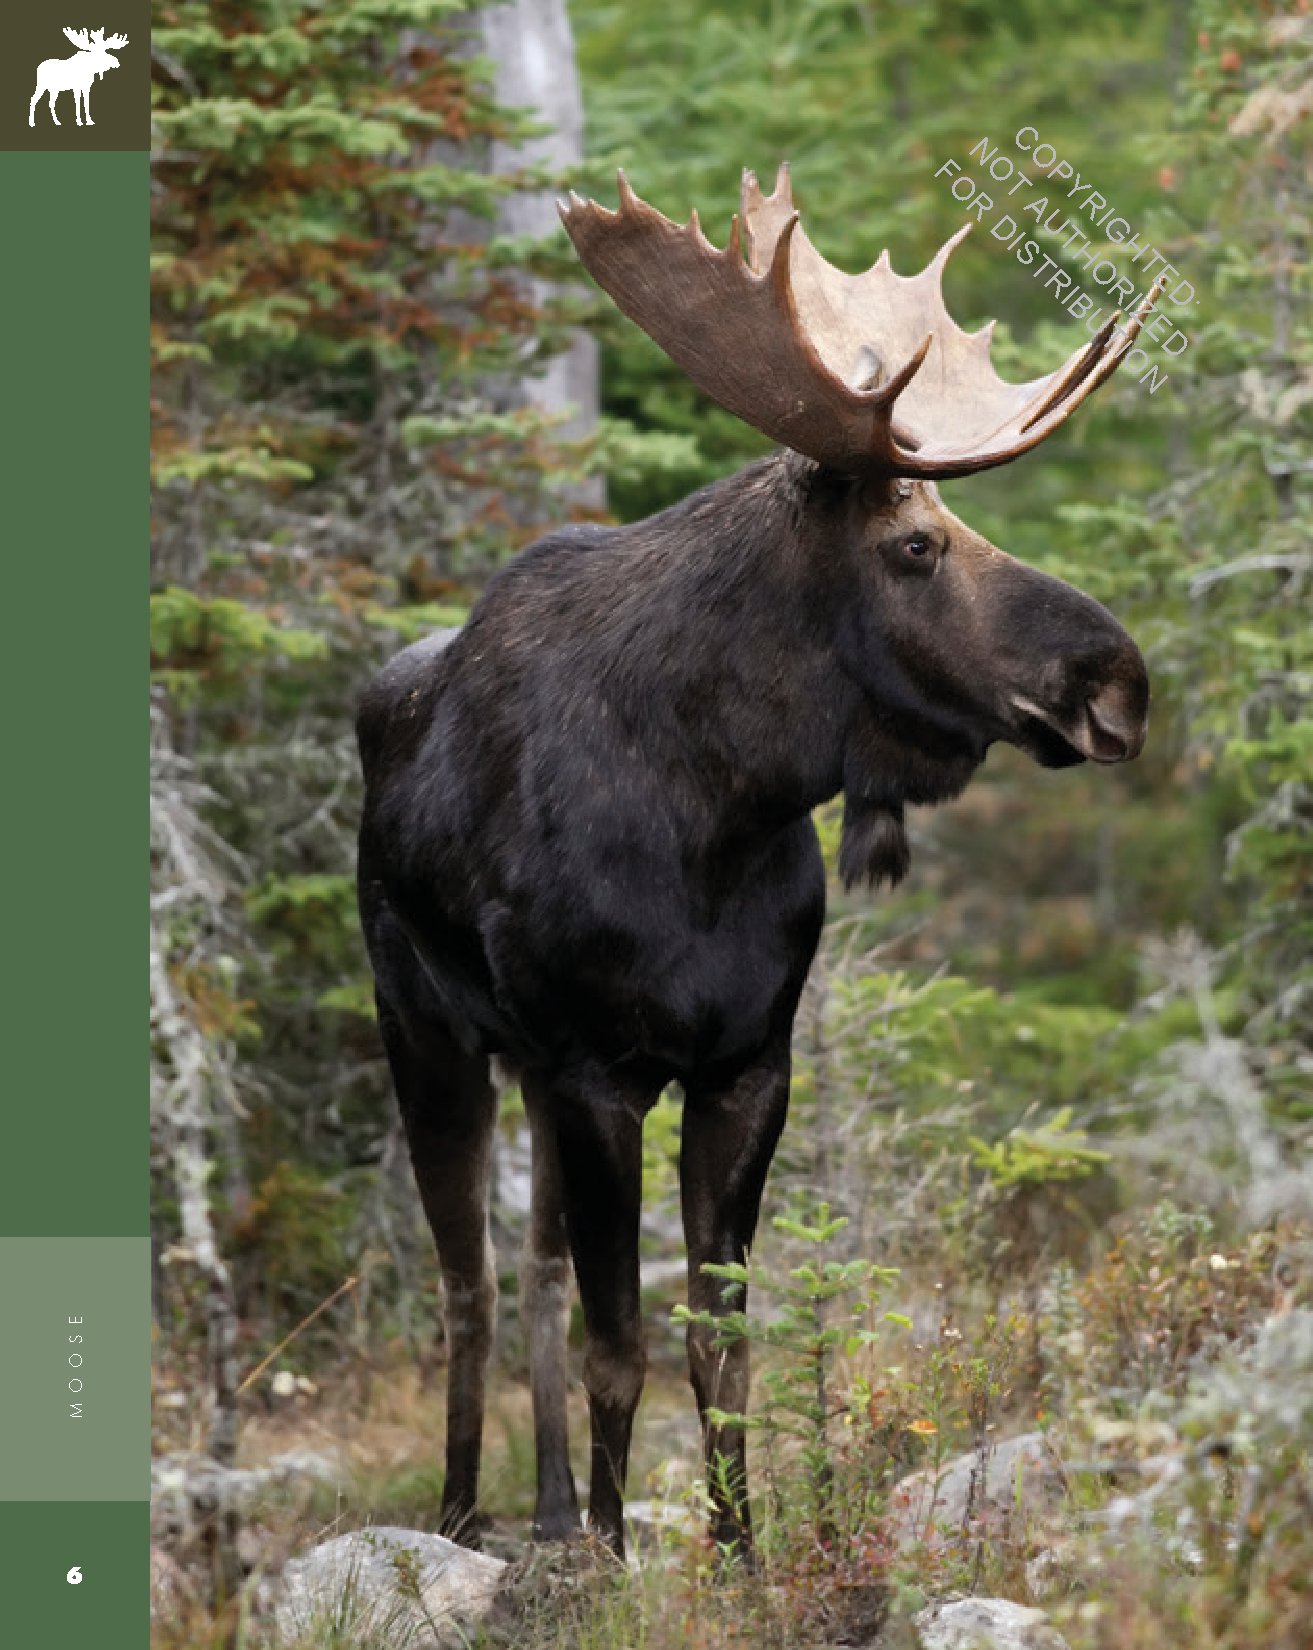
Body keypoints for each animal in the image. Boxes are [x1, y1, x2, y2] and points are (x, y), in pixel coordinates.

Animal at [355, 165, 1162, 1560]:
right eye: (913, 545)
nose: (1118, 681)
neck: (718, 814)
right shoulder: (597, 1069)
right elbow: (621, 1343)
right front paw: (619, 1559)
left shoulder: (743, 1064)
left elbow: (718, 1345)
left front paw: (734, 1549)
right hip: (430, 1032)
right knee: (472, 1284)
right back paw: (464, 1517)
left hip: (526, 1069)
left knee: (534, 1271)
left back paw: (550, 1510)